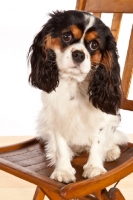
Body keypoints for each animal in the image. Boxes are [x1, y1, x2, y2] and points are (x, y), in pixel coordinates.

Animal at [28, 10, 129, 184]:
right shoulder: (56, 116)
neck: (74, 83)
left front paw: (94, 168)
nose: (78, 54)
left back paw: (111, 150)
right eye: (66, 36)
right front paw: (63, 170)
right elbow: (61, 146)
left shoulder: (103, 117)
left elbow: (98, 141)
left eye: (94, 45)